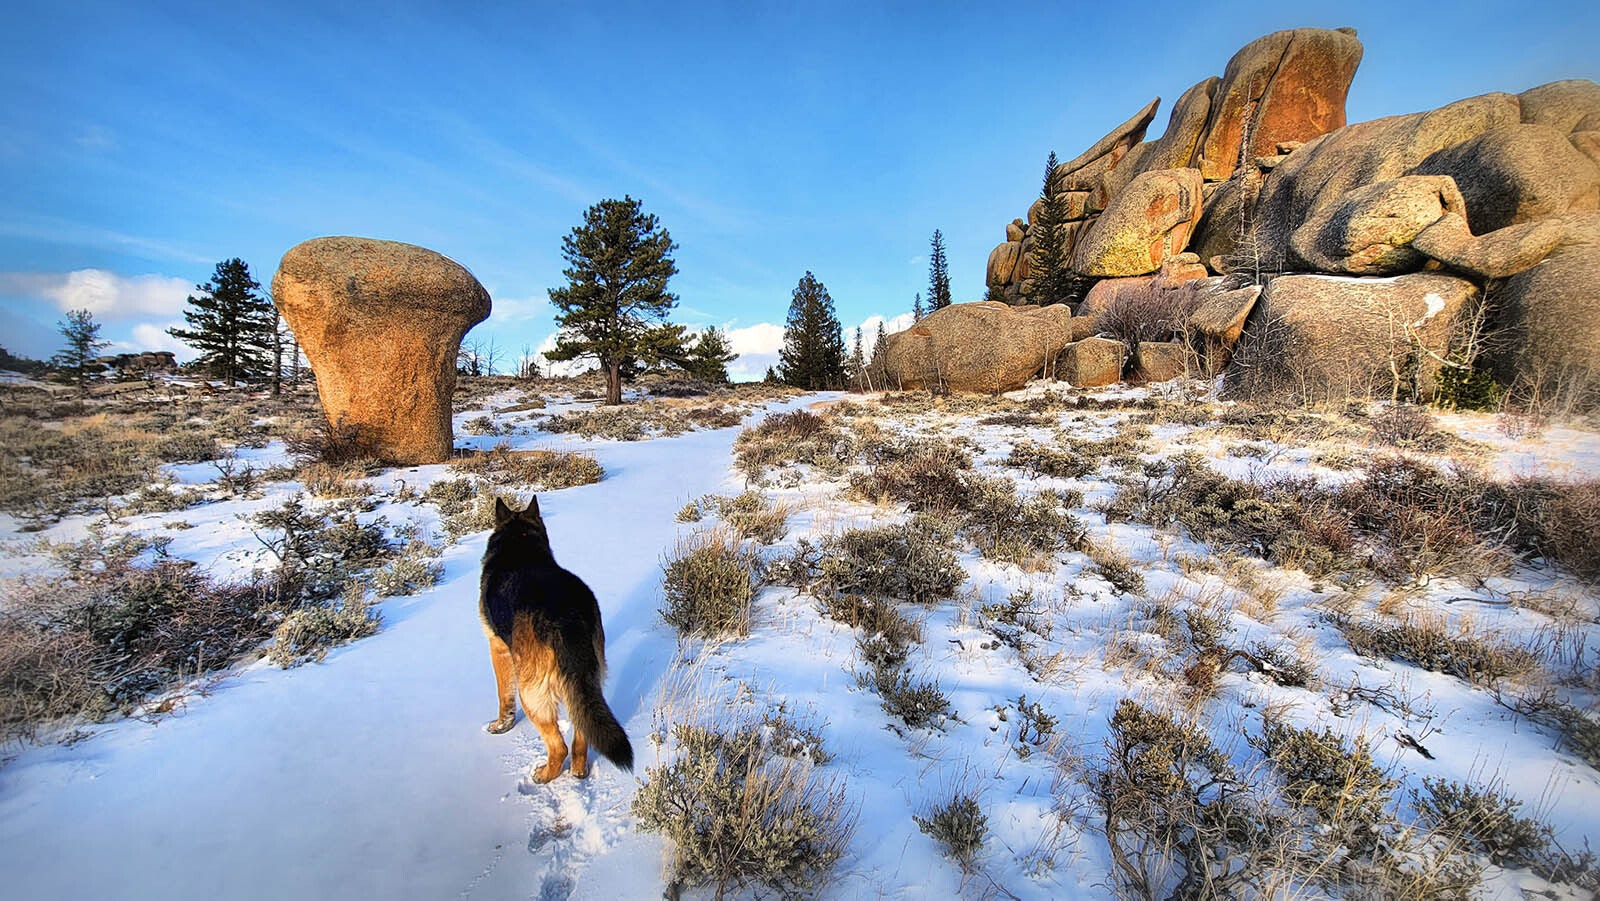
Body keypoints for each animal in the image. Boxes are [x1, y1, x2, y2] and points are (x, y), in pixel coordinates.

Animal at [473, 496, 630, 777]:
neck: (520, 540)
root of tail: (565, 615)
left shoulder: (497, 648)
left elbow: (503, 696)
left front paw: (502, 726)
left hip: (531, 693)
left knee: (559, 747)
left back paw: (544, 775)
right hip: (586, 681)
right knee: (581, 734)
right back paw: (578, 772)